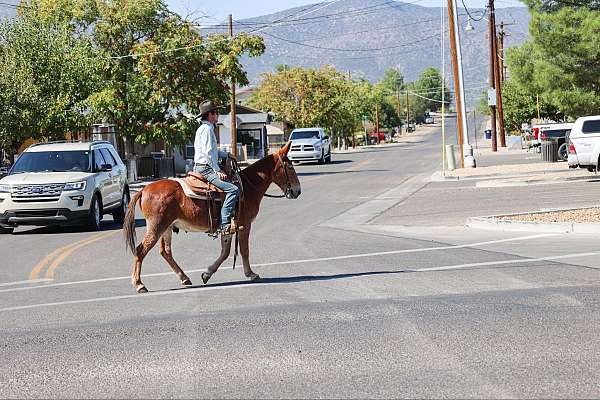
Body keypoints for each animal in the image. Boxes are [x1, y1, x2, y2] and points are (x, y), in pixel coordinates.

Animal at [123, 142, 300, 292]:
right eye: (290, 167)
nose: (297, 191)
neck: (247, 187)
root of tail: (143, 190)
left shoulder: (229, 227)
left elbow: (225, 252)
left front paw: (207, 273)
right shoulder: (245, 225)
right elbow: (244, 250)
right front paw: (251, 274)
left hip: (166, 227)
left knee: (165, 252)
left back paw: (184, 278)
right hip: (156, 226)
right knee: (141, 249)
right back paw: (139, 284)